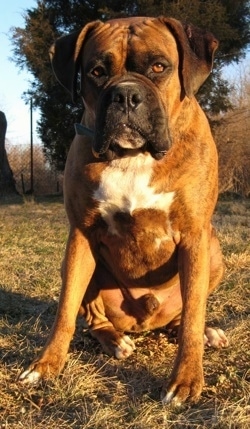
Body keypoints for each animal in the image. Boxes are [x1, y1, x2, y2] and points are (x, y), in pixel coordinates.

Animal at [19, 16, 229, 402]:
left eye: (159, 66)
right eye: (97, 71)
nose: (126, 95)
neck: (134, 156)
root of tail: (144, 320)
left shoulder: (194, 236)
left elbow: (193, 315)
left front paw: (186, 379)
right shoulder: (81, 235)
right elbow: (65, 310)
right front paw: (45, 365)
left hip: (213, 251)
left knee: (185, 315)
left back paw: (205, 332)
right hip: (80, 263)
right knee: (92, 316)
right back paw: (114, 340)